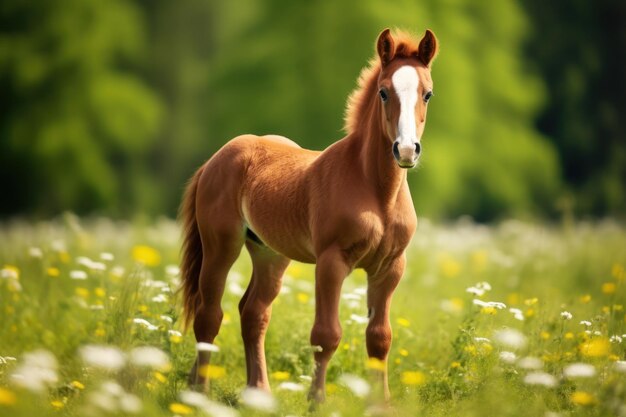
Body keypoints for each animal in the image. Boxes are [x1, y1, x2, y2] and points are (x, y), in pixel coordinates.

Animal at [178, 27, 436, 402]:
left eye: (427, 94)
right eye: (383, 91)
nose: (405, 150)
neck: (377, 192)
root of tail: (217, 158)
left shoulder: (390, 268)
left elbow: (380, 337)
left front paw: (380, 404)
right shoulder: (331, 262)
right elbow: (326, 335)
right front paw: (317, 401)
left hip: (270, 254)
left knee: (253, 313)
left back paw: (258, 392)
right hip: (220, 246)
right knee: (208, 315)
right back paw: (199, 391)